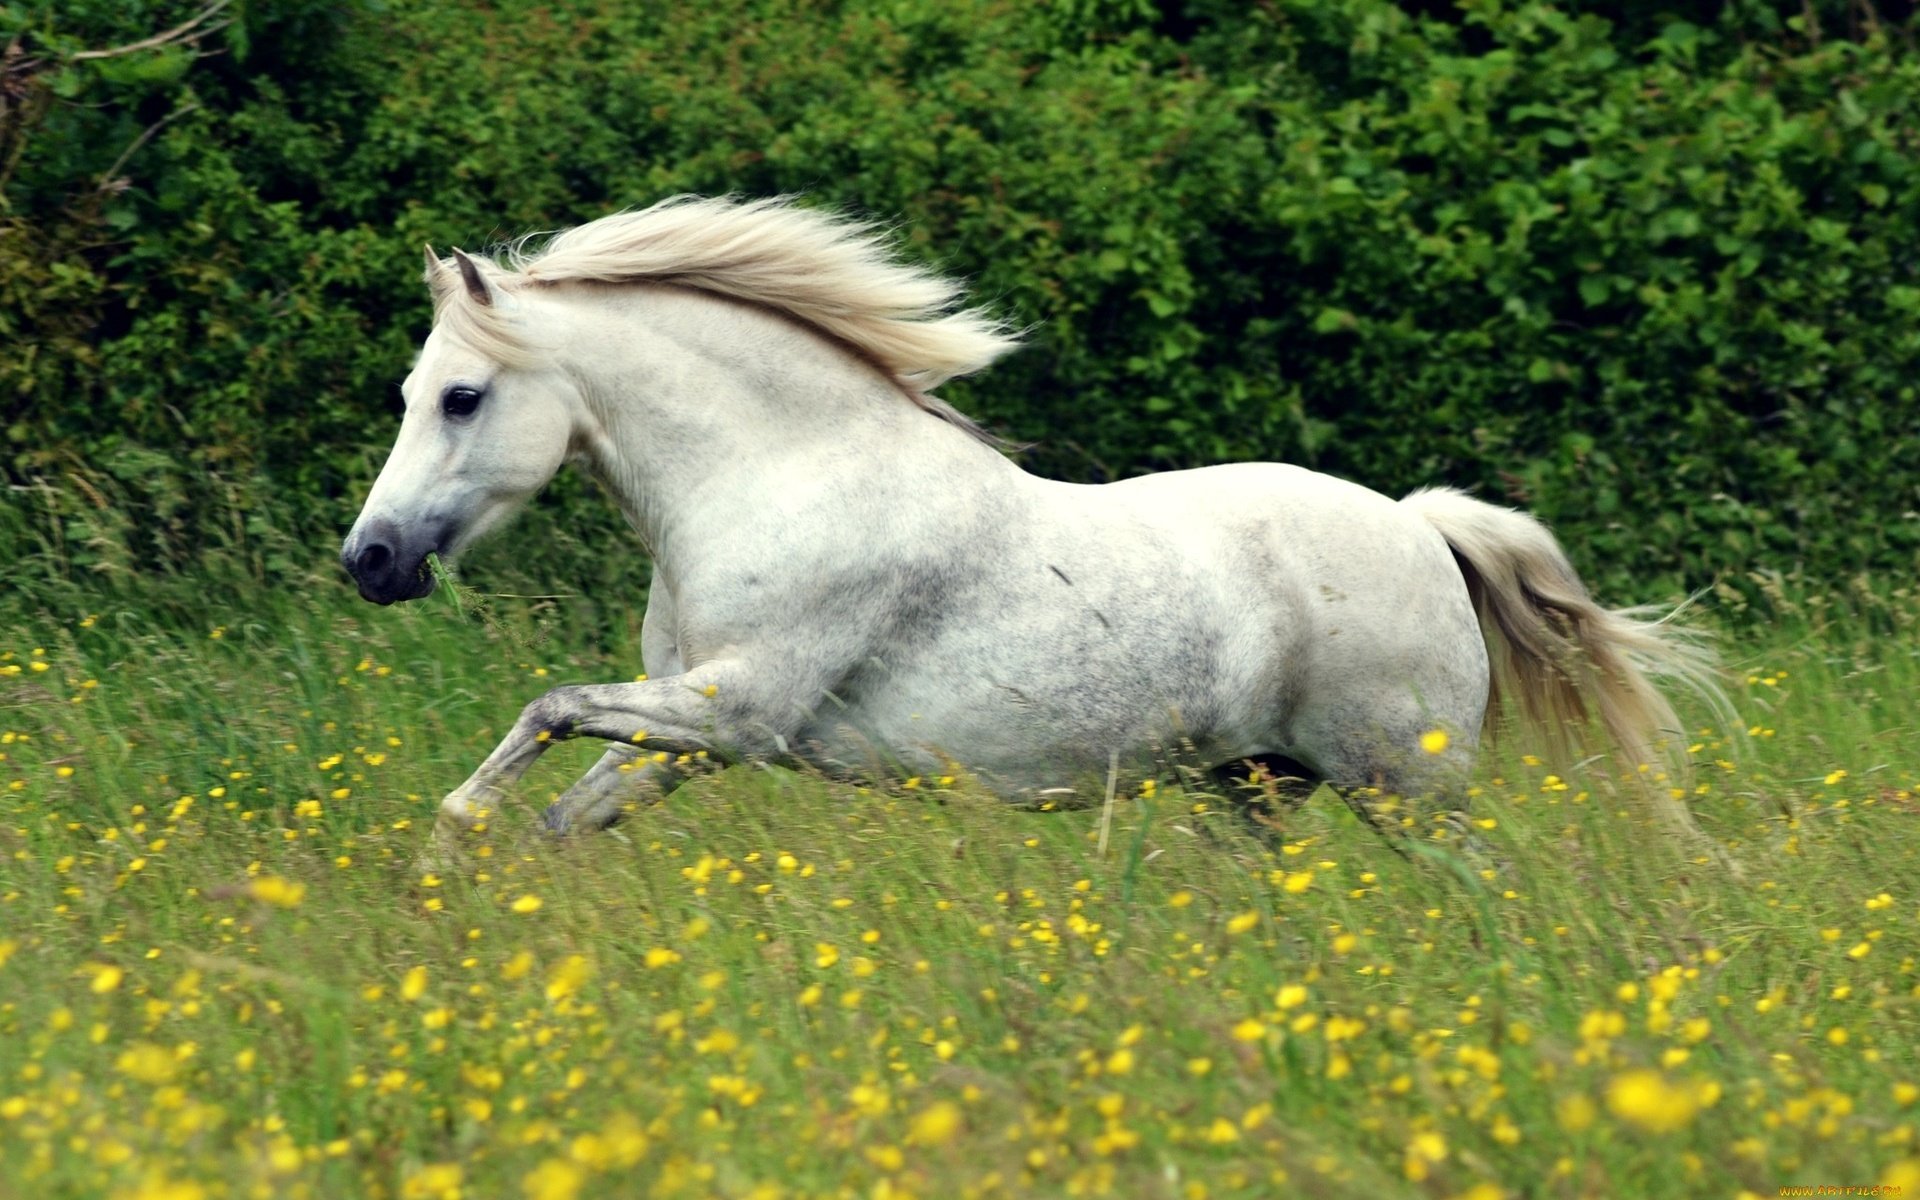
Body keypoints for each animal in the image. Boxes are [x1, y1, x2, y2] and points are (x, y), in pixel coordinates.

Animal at [345, 193, 1728, 840]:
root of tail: (1422, 527)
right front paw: (464, 875)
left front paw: (448, 836)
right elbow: (563, 806)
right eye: (409, 391)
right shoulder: (687, 734)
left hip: (1405, 793)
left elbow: (545, 706)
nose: (370, 560)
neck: (784, 473)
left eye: (462, 396)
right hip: (1257, 791)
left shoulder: (741, 712)